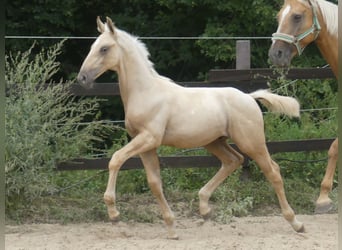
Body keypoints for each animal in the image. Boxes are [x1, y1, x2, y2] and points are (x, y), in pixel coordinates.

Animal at [78, 16, 304, 239]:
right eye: (92, 47)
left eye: (104, 48)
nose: (82, 78)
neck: (146, 92)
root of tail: (249, 97)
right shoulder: (146, 145)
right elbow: (154, 183)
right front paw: (171, 228)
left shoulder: (149, 138)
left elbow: (115, 160)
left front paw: (114, 214)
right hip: (214, 142)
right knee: (233, 160)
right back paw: (204, 208)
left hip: (251, 142)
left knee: (272, 171)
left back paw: (296, 223)